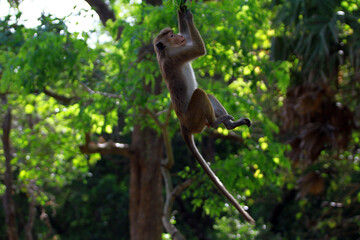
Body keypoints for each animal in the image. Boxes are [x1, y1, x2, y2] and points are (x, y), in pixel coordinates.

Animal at [153, 5, 255, 224]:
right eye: (172, 36)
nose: (178, 37)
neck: (165, 52)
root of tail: (182, 124)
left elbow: (192, 42)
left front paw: (182, 12)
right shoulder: (177, 55)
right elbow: (199, 49)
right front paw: (189, 16)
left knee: (207, 94)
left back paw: (229, 125)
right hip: (194, 118)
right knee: (200, 94)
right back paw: (216, 123)